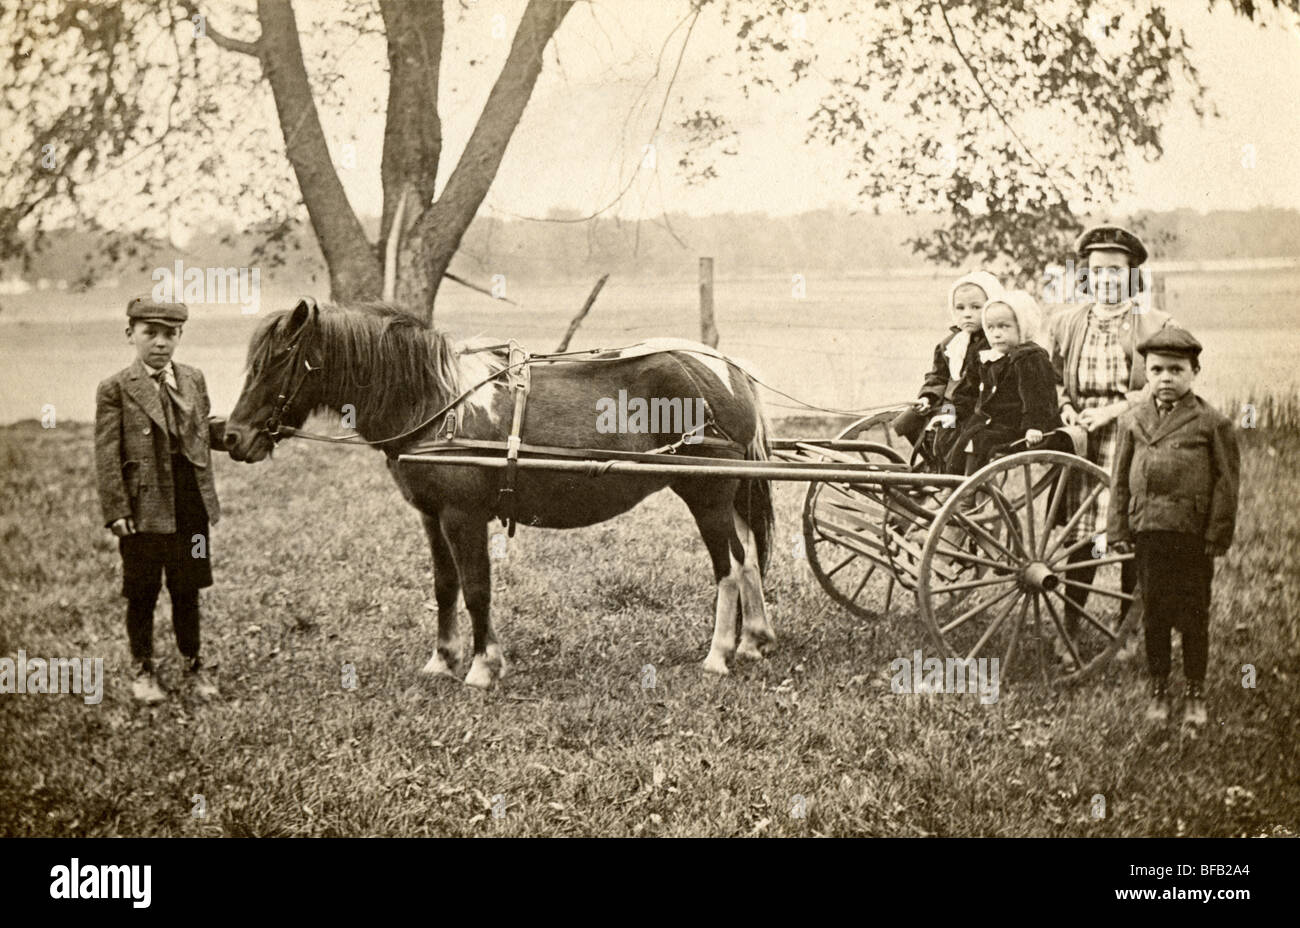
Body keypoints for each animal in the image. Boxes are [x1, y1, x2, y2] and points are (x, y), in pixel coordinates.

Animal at [223, 297, 774, 686]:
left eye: (278, 361)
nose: (231, 436)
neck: (439, 404)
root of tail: (724, 368)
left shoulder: (463, 515)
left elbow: (476, 588)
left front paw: (483, 666)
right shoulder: (431, 515)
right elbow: (445, 586)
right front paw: (442, 659)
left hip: (706, 496)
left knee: (728, 567)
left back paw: (718, 654)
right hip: (728, 496)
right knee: (748, 558)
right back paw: (753, 639)